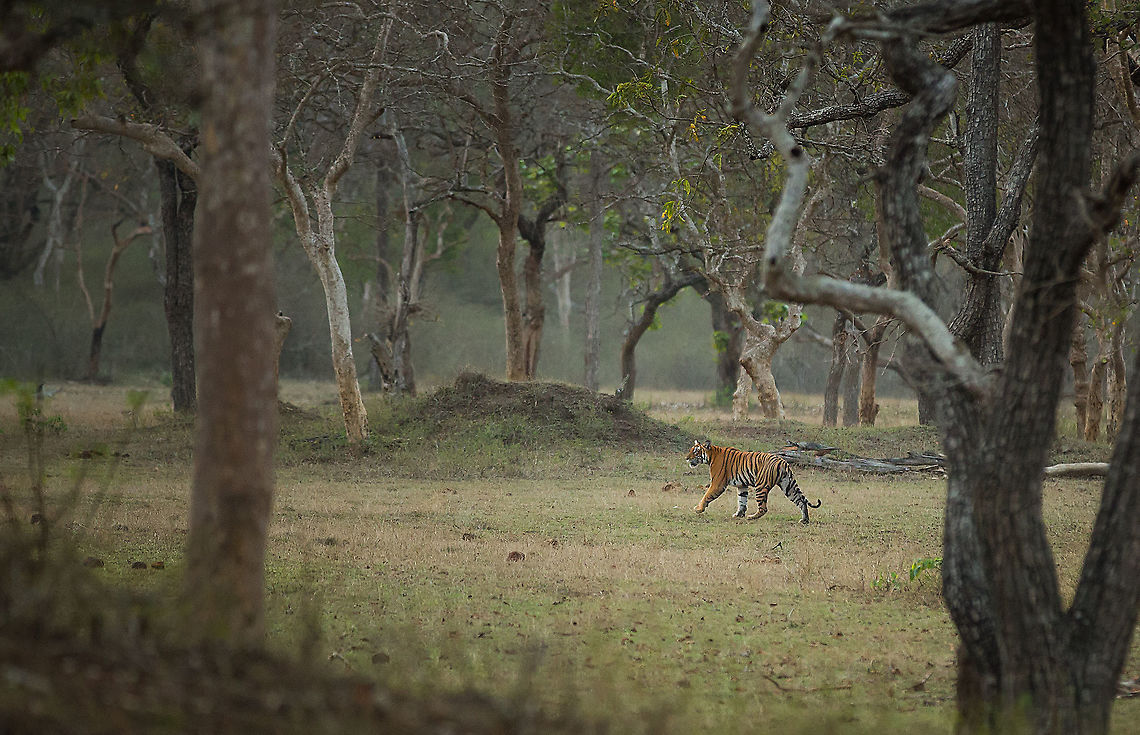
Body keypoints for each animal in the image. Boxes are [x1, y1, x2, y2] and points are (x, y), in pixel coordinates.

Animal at [685, 439, 821, 524]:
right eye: (691, 450)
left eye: (695, 451)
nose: (686, 458)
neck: (711, 455)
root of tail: (782, 462)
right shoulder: (742, 485)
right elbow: (742, 500)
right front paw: (739, 514)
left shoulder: (718, 483)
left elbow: (706, 495)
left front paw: (698, 509)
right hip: (788, 486)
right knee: (801, 501)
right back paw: (804, 520)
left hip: (761, 486)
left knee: (763, 508)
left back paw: (751, 517)